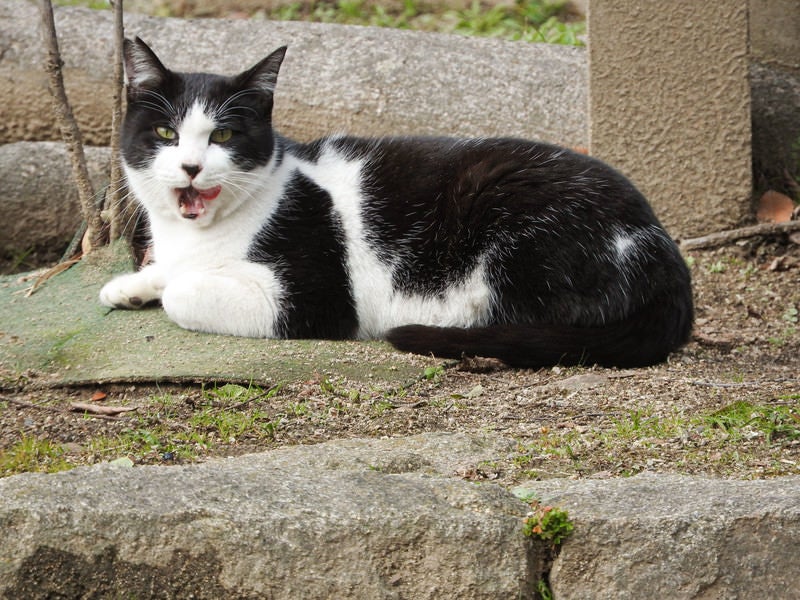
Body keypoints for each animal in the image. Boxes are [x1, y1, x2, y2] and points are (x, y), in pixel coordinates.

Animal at [98, 37, 692, 368]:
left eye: (222, 136)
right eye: (166, 132)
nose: (192, 166)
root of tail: (663, 250)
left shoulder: (315, 298)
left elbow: (185, 292)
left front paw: (166, 285)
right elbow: (166, 272)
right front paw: (130, 285)